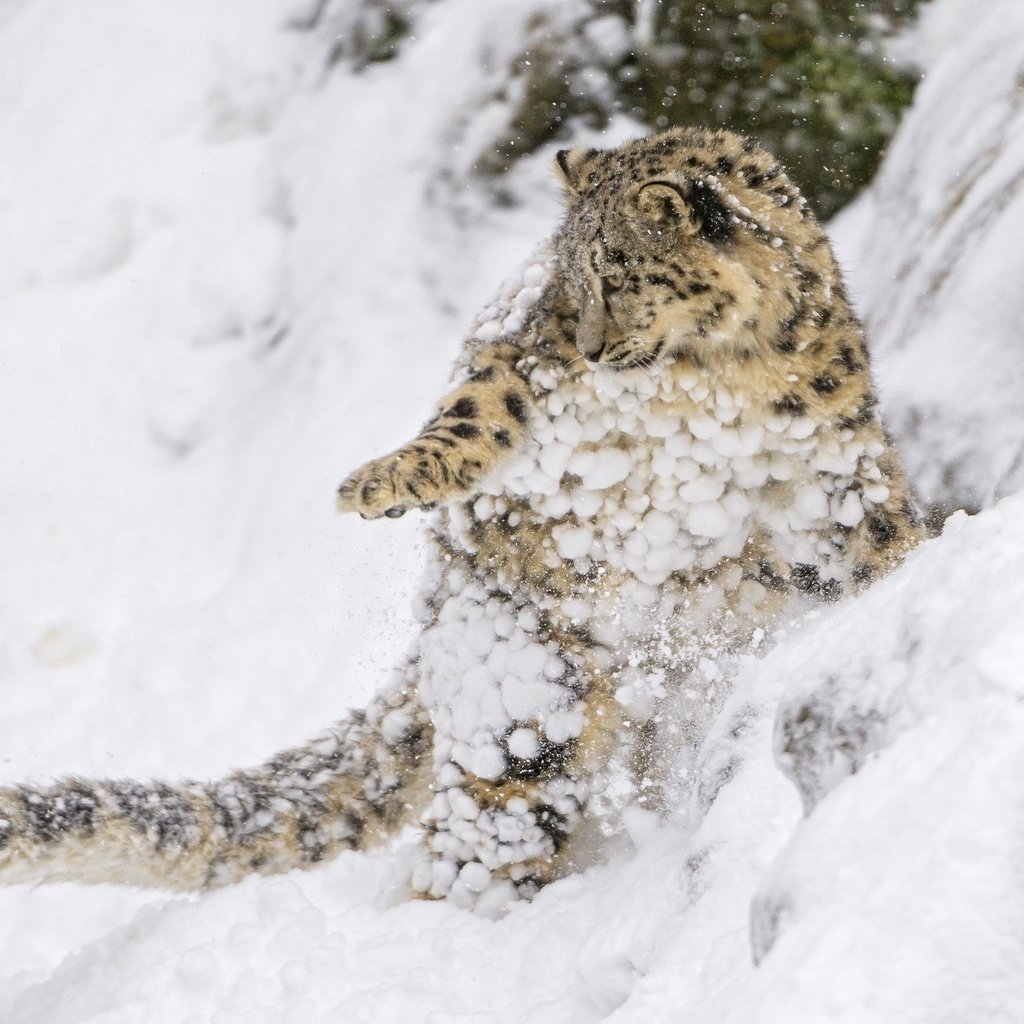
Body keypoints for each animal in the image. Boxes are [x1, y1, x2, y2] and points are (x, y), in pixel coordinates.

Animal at [0, 128, 921, 913]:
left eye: (620, 273)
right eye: (570, 281)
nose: (589, 346)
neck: (714, 378)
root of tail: (437, 621)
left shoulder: (832, 466)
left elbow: (878, 537)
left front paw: (915, 573)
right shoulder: (523, 355)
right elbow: (476, 408)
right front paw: (381, 483)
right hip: (522, 699)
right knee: (480, 836)